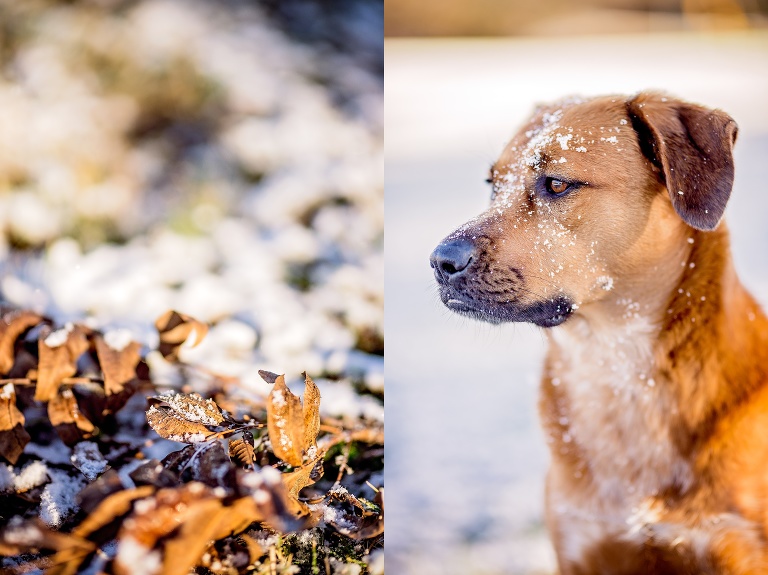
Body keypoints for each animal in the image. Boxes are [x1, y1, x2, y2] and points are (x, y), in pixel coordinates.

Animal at [428, 92, 768, 572]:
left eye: (557, 184)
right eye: (493, 184)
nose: (440, 261)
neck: (615, 369)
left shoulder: (735, 542)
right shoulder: (582, 542)